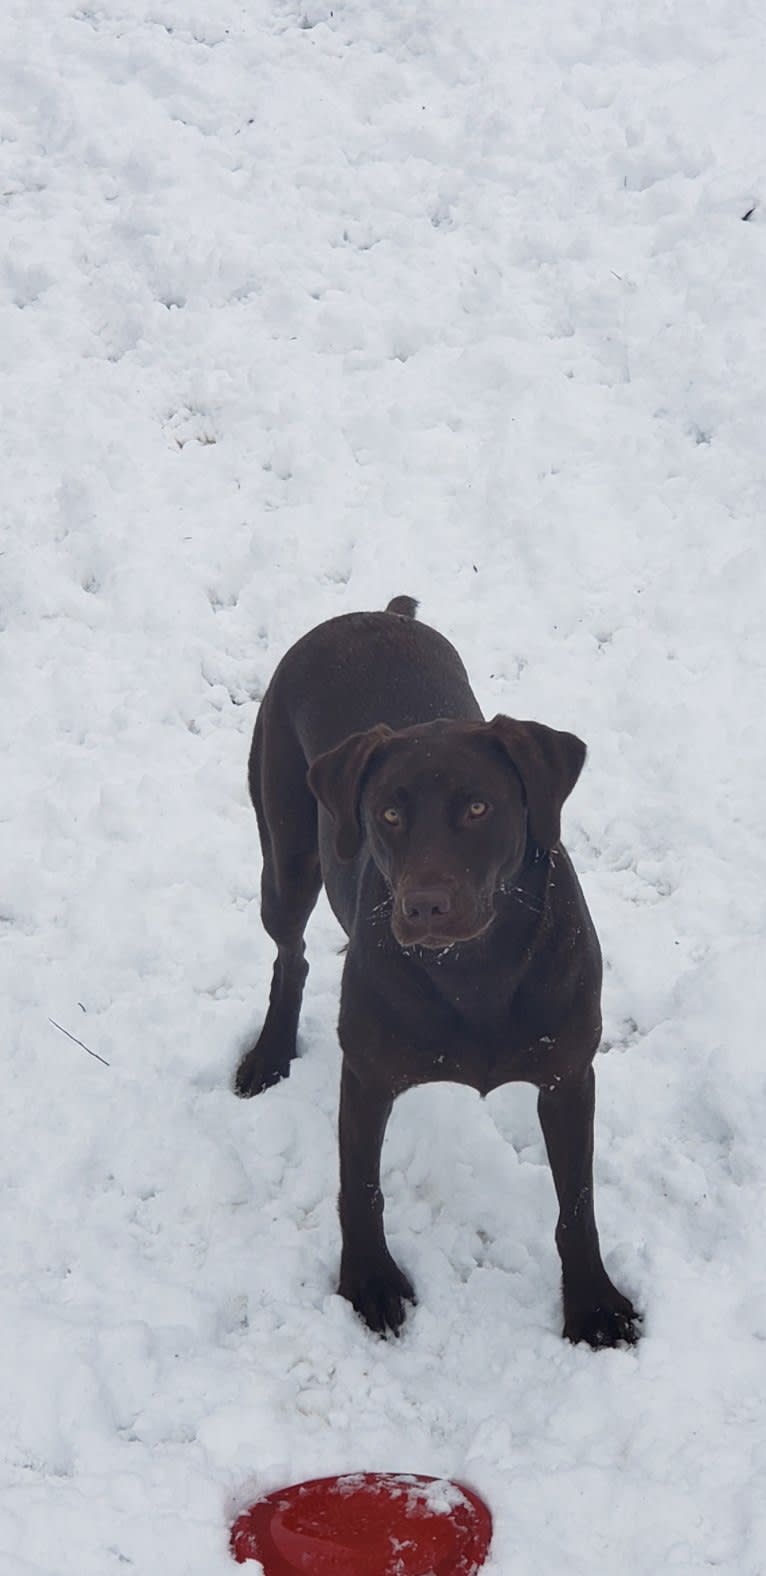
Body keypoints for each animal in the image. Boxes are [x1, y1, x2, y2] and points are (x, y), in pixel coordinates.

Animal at [234, 595, 639, 1349]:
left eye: (478, 806)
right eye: (388, 813)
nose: (424, 905)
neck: (475, 970)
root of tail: (370, 613)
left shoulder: (568, 1076)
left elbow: (577, 1203)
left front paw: (593, 1301)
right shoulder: (367, 1077)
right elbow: (360, 1187)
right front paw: (369, 1281)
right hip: (287, 856)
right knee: (290, 955)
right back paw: (269, 1053)